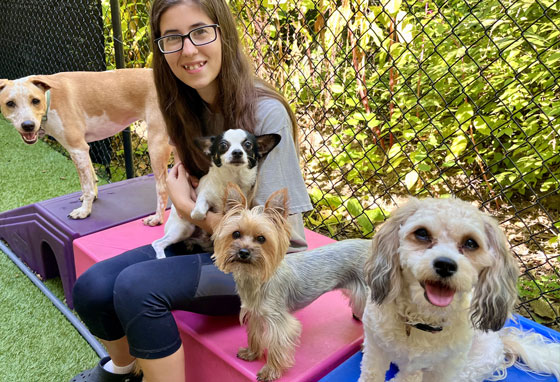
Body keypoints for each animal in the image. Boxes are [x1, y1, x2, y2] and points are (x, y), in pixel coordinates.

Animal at [0, 69, 171, 225]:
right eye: (10, 103)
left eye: (35, 101)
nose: (28, 125)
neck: (49, 99)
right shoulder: (82, 150)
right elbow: (89, 180)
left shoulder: (77, 148)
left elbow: (87, 186)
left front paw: (84, 211)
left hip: (156, 146)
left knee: (162, 187)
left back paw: (157, 218)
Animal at [152, 129, 280, 260]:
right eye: (223, 145)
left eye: (248, 144)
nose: (237, 152)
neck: (233, 178)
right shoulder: (204, 194)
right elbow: (199, 209)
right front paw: (197, 213)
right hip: (183, 229)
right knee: (157, 243)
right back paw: (162, 257)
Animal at [358, 198, 560, 382]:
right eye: (422, 233)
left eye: (471, 243)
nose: (445, 265)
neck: (422, 319)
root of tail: (501, 340)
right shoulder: (375, 349)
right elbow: (371, 374)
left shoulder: (440, 369)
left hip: (468, 368)